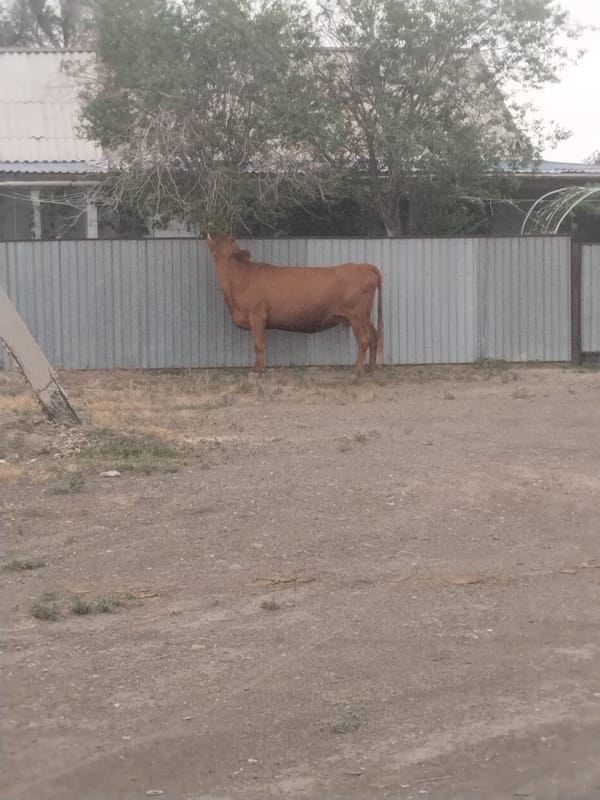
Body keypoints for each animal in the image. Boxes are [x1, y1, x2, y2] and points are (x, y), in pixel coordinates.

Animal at [206, 232, 383, 373]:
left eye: (228, 241)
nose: (213, 232)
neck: (238, 277)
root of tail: (364, 266)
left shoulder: (257, 316)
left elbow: (258, 344)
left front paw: (258, 370)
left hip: (357, 317)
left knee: (364, 339)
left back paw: (357, 370)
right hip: (364, 317)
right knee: (374, 336)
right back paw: (371, 368)